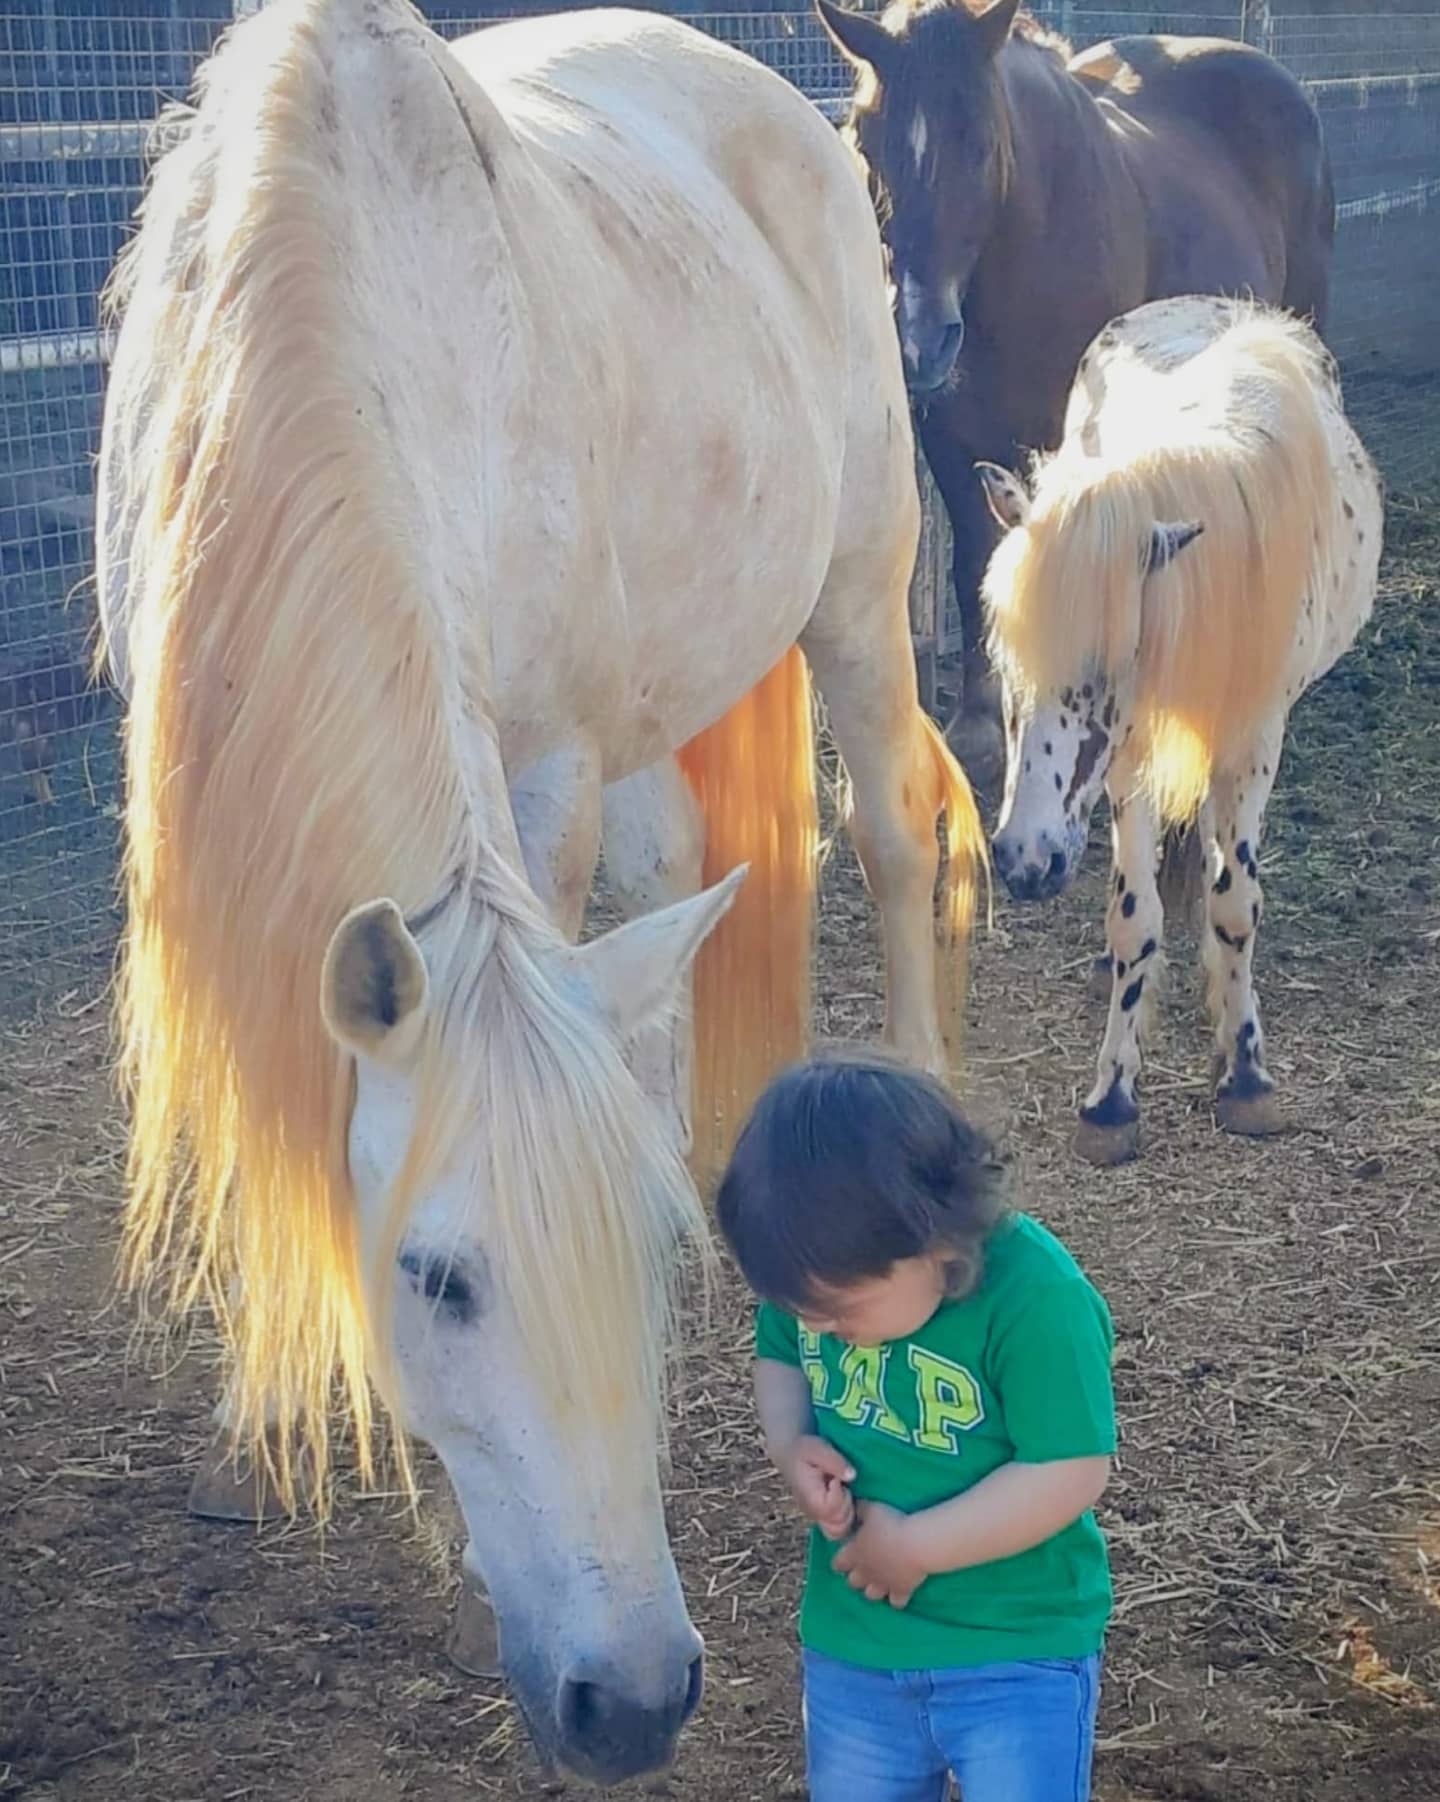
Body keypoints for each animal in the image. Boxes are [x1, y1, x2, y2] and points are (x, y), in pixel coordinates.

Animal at [94, 0, 984, 1782]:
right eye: (438, 1278)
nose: (632, 1699)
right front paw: (260, 1408)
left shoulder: (549, 765)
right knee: (673, 898)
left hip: (856, 591)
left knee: (892, 832)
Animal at [815, 0, 1335, 775]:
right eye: (864, 139)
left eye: (981, 142)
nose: (921, 337)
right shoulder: (949, 436)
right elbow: (973, 559)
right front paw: (978, 720)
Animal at [975, 295, 1382, 1166]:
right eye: (1007, 670)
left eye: (1105, 672)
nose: (1024, 863)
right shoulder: (1132, 759)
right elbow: (1135, 917)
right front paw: (1112, 1100)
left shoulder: (1253, 741)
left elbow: (1236, 903)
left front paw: (1245, 1075)